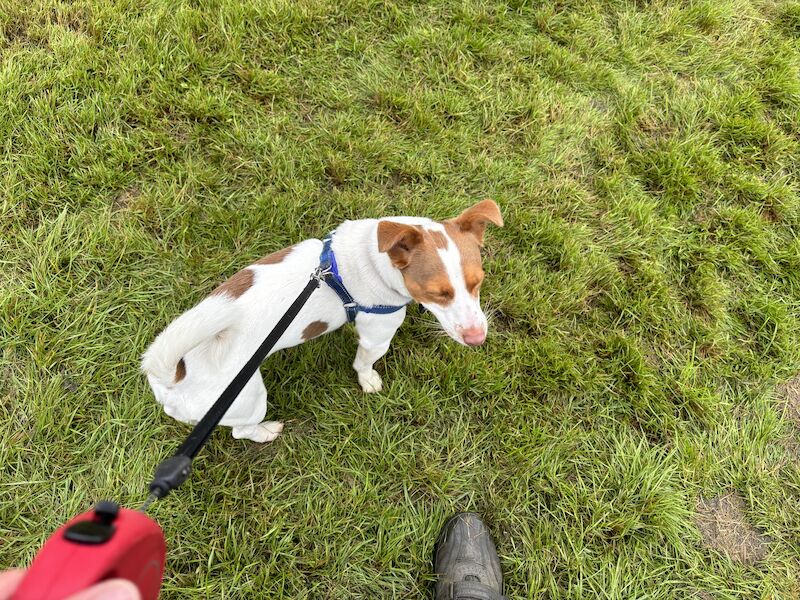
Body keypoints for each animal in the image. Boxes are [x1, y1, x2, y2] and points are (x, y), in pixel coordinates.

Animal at [138, 200, 500, 440]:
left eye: (478, 282)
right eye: (437, 293)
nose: (477, 339)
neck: (373, 257)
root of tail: (171, 377)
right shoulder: (376, 335)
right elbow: (364, 363)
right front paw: (368, 380)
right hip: (247, 400)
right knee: (241, 431)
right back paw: (266, 431)